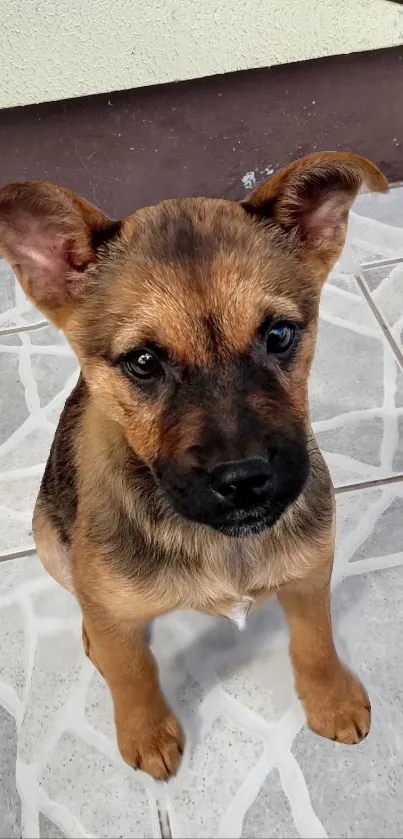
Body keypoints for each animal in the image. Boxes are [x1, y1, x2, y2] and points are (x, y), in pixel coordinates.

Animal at [0, 153, 388, 780]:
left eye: (280, 334)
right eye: (143, 361)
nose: (246, 481)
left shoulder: (310, 571)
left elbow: (316, 639)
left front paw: (332, 699)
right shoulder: (113, 605)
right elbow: (132, 671)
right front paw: (146, 732)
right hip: (44, 536)